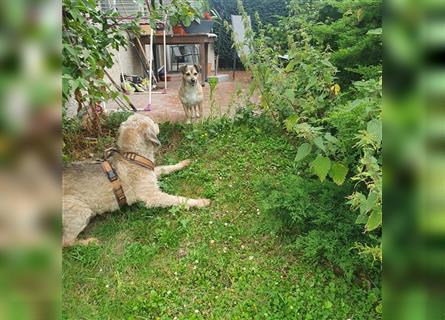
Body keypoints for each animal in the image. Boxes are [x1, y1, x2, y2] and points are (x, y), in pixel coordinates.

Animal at [61, 114, 212, 246]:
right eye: (151, 120)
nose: (158, 123)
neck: (132, 156)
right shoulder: (152, 196)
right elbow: (178, 199)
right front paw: (200, 202)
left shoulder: (153, 173)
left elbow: (166, 168)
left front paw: (182, 163)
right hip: (80, 210)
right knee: (66, 242)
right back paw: (89, 242)